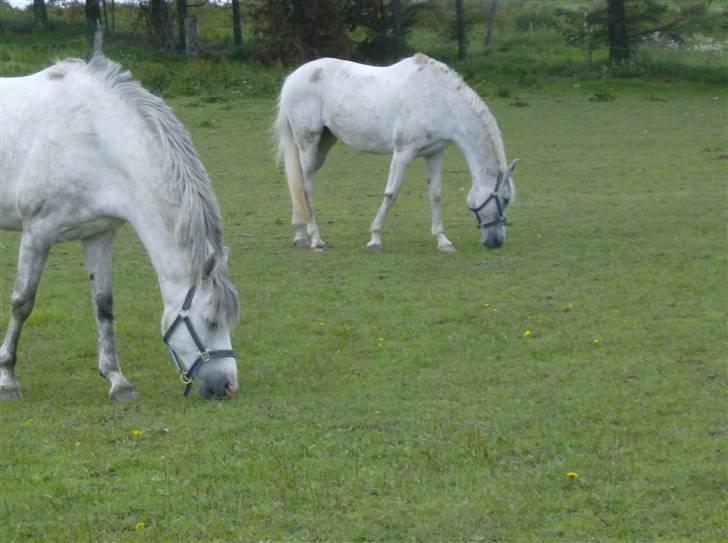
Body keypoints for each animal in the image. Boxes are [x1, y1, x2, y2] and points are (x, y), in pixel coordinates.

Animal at [0, 55, 239, 402]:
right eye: (210, 321)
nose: (229, 386)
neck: (93, 138)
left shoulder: (98, 235)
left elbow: (104, 305)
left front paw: (117, 380)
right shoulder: (37, 234)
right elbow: (22, 303)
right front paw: (7, 379)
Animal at [272, 53, 516, 253]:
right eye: (505, 199)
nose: (496, 242)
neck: (439, 99)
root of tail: (293, 78)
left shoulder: (434, 153)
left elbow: (435, 195)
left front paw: (443, 241)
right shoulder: (403, 152)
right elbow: (391, 193)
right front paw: (375, 239)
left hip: (323, 145)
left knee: (297, 184)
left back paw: (299, 235)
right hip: (308, 143)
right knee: (305, 188)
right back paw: (316, 240)